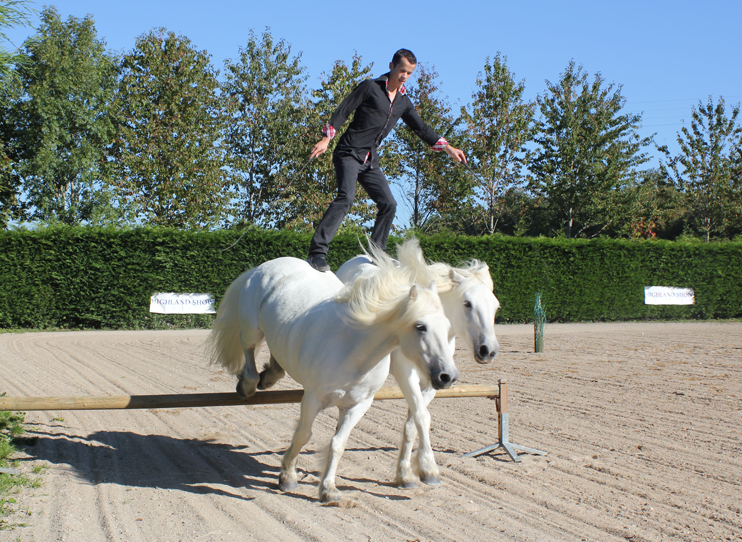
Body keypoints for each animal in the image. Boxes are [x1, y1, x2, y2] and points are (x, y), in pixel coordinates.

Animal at [206, 253, 456, 504]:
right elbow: (303, 435)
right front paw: (287, 477)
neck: (353, 349)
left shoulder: (358, 404)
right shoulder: (312, 398)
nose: (448, 376)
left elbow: (338, 443)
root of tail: (264, 265)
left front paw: (328, 489)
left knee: (276, 362)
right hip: (252, 329)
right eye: (420, 326)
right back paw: (247, 385)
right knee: (248, 350)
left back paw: (267, 377)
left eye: (448, 326)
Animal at [336, 240, 500, 490]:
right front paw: (427, 469)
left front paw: (405, 474)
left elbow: (413, 422)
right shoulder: (406, 374)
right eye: (467, 303)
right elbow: (422, 416)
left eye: (495, 306)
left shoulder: (436, 379)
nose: (488, 350)